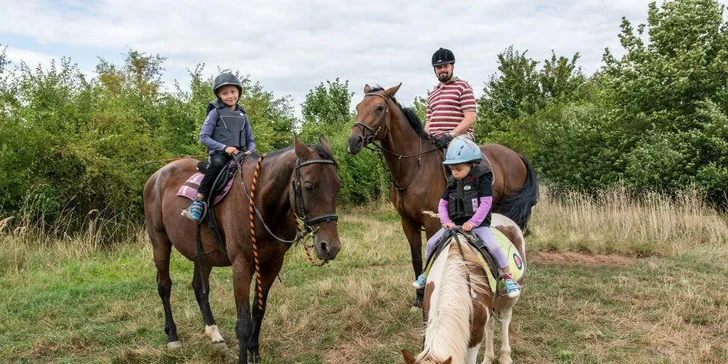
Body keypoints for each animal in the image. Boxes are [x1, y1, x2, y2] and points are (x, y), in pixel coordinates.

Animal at [145, 135, 344, 362]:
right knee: (164, 285)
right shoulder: (241, 265)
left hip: (201, 254)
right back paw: (173, 336)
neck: (261, 204)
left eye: (337, 186)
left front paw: (254, 352)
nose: (331, 247)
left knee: (199, 288)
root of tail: (157, 176)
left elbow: (258, 310)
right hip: (160, 242)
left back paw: (213, 332)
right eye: (309, 186)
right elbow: (243, 323)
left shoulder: (272, 264)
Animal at [346, 84, 540, 306]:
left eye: (379, 108)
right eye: (358, 107)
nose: (353, 141)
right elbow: (416, 258)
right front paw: (418, 298)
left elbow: (433, 257)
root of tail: (516, 155)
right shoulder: (408, 222)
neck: (414, 167)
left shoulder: (433, 222)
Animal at [400, 213, 528, 364]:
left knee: (506, 320)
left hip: (510, 298)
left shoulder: (475, 335)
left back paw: (505, 357)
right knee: (490, 324)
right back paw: (488, 358)